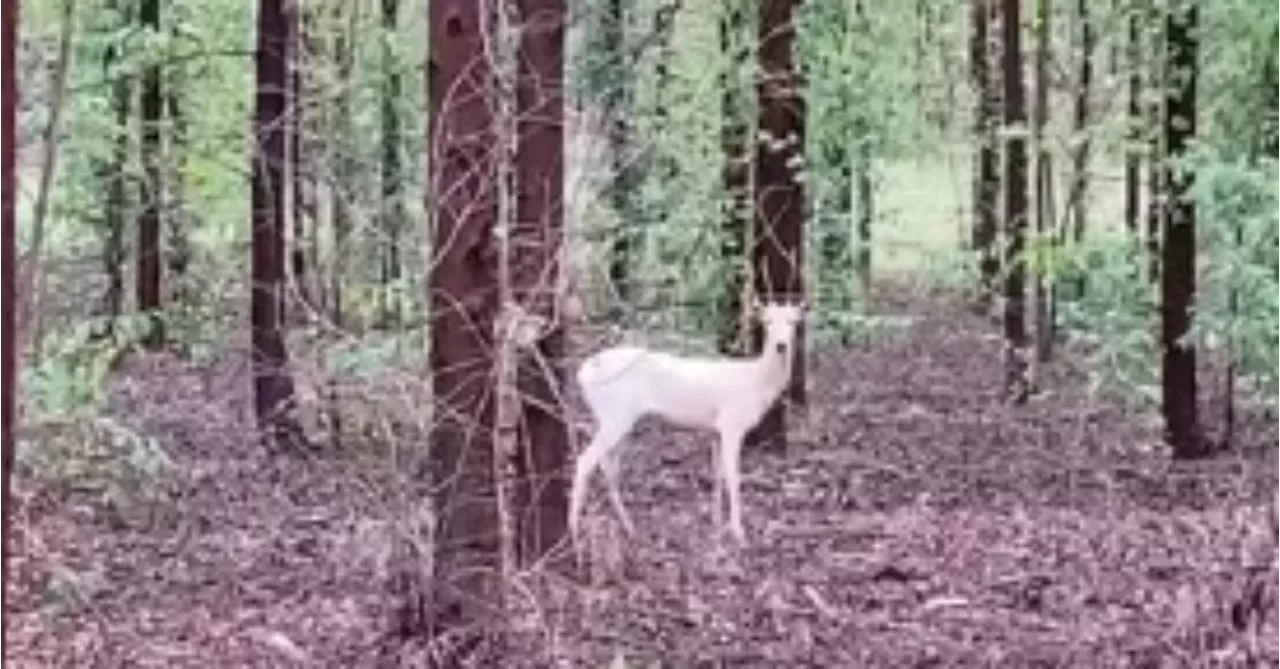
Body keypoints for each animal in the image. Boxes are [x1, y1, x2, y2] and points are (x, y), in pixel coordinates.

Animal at [568, 298, 803, 544]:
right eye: (767, 322)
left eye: (793, 321)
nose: (780, 345)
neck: (757, 384)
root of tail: (583, 374)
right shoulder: (732, 423)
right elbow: (733, 476)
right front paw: (738, 532)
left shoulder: (716, 430)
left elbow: (717, 474)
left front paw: (716, 523)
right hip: (616, 414)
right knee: (585, 461)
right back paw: (574, 531)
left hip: (612, 418)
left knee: (609, 467)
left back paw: (628, 527)